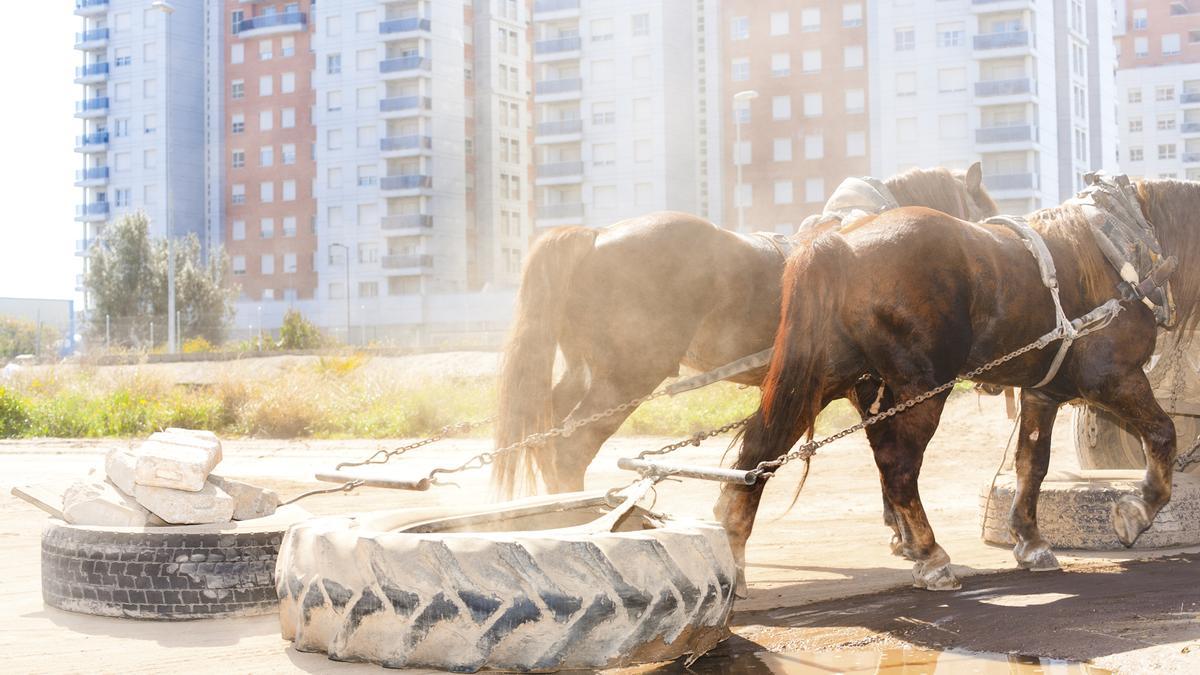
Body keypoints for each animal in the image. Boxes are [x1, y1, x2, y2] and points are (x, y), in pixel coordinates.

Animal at [492, 165, 998, 497]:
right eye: (985, 215)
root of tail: (595, 235)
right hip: (625, 376)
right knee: (569, 448)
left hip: (584, 370)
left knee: (546, 435)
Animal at [715, 177, 1200, 588]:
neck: (1121, 251)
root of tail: (844, 244)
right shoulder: (1114, 378)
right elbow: (1163, 433)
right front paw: (1137, 509)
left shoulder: (1043, 392)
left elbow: (1032, 464)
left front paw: (1030, 540)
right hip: (923, 387)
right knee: (898, 465)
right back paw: (930, 555)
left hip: (821, 377)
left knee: (760, 451)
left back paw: (733, 550)